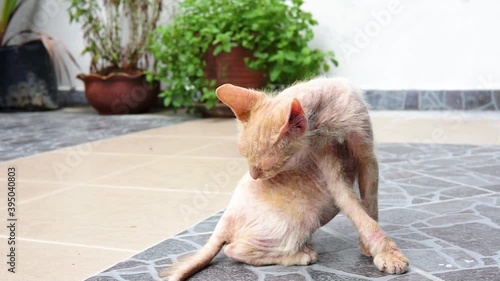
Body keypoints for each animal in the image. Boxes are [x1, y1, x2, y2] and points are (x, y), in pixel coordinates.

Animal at [162, 77, 408, 280]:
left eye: (268, 166)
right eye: (246, 158)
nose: (254, 176)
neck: (327, 119)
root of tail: (224, 221)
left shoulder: (367, 156)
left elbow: (370, 205)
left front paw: (371, 247)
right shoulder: (330, 168)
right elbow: (358, 212)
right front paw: (386, 253)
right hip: (302, 220)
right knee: (234, 249)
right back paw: (302, 255)